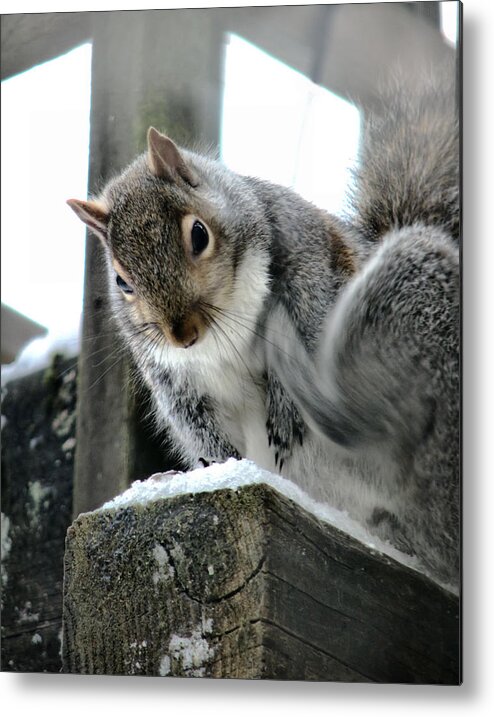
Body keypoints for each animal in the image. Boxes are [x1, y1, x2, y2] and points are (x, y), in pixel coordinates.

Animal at [67, 64, 462, 588]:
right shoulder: (169, 374)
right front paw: (217, 466)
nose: (183, 334)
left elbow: (310, 315)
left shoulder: (308, 252)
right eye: (120, 281)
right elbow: (194, 420)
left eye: (199, 234)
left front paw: (284, 405)